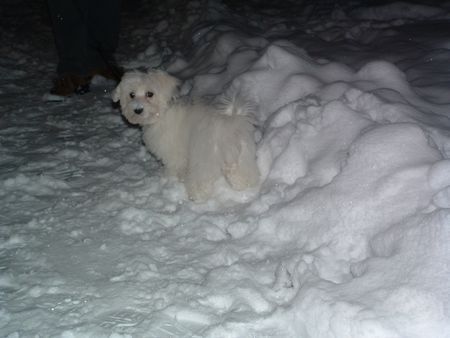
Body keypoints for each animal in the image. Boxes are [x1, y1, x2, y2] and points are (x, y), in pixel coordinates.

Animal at [112, 69, 260, 201]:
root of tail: (230, 123)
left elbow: (173, 167)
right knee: (243, 173)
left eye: (150, 94)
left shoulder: (173, 153)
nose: (138, 110)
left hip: (203, 156)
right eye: (131, 94)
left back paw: (196, 195)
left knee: (201, 178)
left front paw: (169, 179)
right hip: (242, 155)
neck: (162, 113)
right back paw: (243, 185)